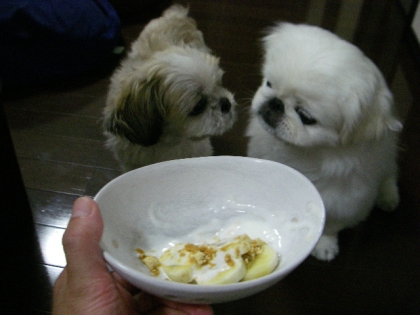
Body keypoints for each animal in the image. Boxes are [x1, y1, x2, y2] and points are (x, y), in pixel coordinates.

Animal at [104, 4, 236, 173]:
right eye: (198, 106)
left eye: (219, 83)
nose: (226, 103)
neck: (169, 140)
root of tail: (176, 15)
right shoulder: (130, 163)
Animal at [248, 23, 402, 262]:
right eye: (269, 83)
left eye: (305, 117)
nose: (275, 104)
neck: (304, 153)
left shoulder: (344, 200)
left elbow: (329, 224)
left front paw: (324, 245)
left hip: (386, 157)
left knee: (389, 173)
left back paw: (388, 197)